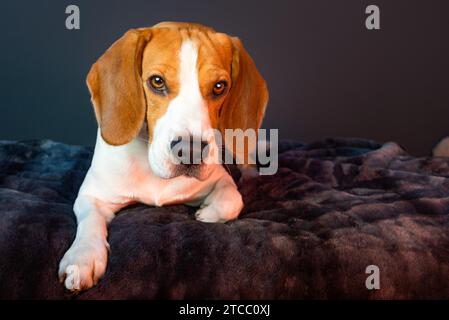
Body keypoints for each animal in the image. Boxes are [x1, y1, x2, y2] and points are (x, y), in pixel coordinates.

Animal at [59, 21, 270, 292]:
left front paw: (208, 213)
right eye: (157, 82)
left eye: (219, 86)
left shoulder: (218, 176)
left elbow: (232, 199)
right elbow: (90, 222)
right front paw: (83, 257)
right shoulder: (92, 195)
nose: (190, 151)